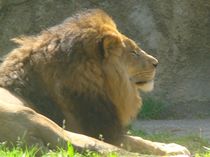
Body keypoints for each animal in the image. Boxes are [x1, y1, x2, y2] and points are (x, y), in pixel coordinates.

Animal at [0, 8, 190, 156]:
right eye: (133, 52)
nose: (156, 63)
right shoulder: (100, 130)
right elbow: (138, 141)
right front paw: (175, 149)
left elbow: (140, 139)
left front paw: (170, 146)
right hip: (51, 126)